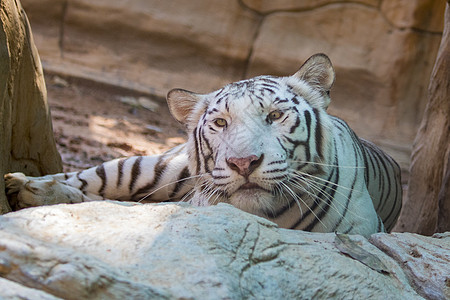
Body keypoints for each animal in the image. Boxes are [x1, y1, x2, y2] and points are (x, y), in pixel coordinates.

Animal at [5, 53, 402, 237]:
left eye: (274, 116)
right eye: (220, 122)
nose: (243, 163)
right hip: (151, 168)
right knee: (90, 183)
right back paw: (25, 187)